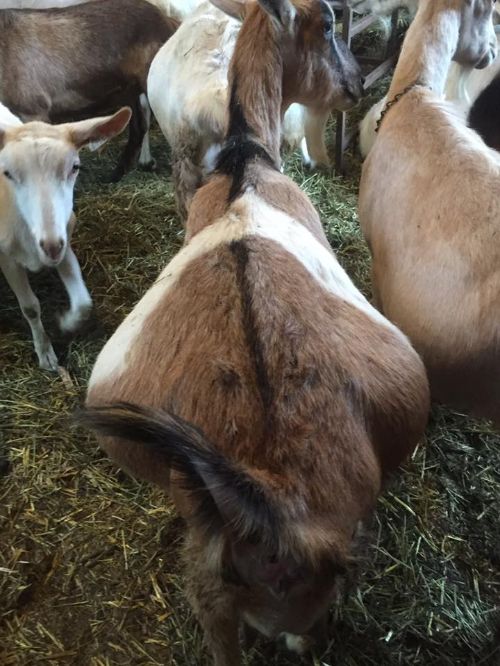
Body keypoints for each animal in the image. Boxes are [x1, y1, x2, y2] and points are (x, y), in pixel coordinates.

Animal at [0, 104, 131, 370]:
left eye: (74, 167)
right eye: (6, 172)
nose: (50, 246)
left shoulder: (64, 242)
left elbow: (83, 304)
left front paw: (64, 323)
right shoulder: (7, 257)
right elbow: (30, 308)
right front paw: (45, 353)